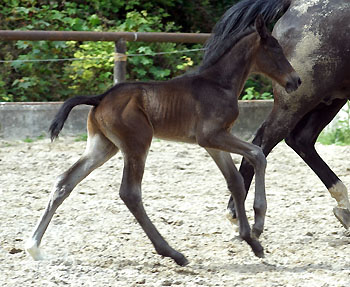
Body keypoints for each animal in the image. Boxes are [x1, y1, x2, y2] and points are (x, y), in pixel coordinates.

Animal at [24, 12, 300, 266]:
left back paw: (34, 247)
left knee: (65, 182)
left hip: (102, 146)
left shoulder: (215, 142)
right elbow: (257, 154)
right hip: (137, 143)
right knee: (130, 193)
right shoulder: (212, 136)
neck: (218, 84)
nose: (296, 80)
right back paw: (173, 253)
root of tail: (100, 97)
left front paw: (251, 240)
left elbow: (235, 181)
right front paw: (257, 226)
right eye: (276, 49)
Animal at [227, 0, 350, 231]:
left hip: (331, 98)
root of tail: (294, 4)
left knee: (300, 140)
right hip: (299, 99)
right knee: (264, 140)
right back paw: (235, 213)